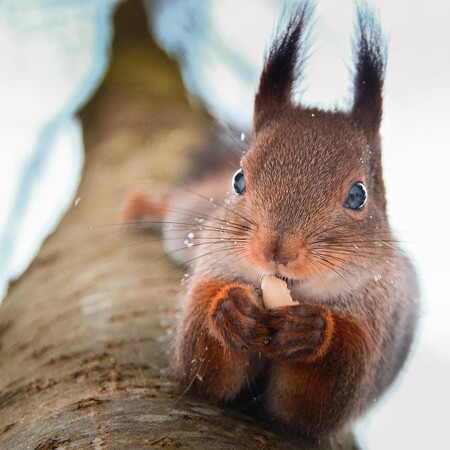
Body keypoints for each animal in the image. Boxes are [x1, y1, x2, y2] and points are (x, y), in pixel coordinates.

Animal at [122, 1, 418, 442]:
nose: (276, 249)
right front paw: (229, 310)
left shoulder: (373, 325)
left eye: (358, 195)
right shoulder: (213, 267)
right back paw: (144, 206)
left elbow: (314, 404)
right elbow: (200, 366)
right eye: (239, 179)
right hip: (191, 222)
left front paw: (312, 330)